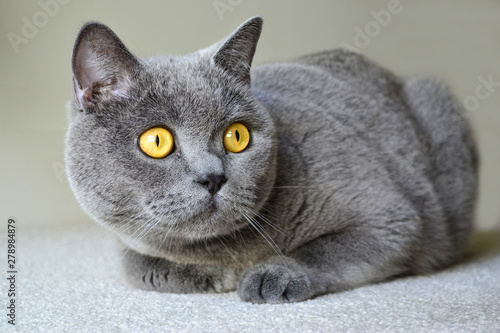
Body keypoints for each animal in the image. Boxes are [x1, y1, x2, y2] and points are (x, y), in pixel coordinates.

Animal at [64, 16, 478, 302]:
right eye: (156, 141)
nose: (212, 177)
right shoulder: (129, 243)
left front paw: (271, 276)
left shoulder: (391, 218)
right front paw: (212, 276)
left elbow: (323, 249)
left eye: (237, 136)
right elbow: (135, 266)